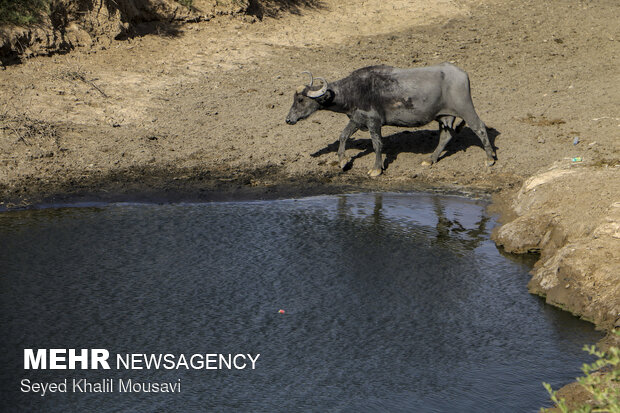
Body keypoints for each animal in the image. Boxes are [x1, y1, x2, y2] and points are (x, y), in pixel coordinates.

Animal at [284, 63, 494, 176]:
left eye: (301, 99)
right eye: (294, 99)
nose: (288, 120)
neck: (356, 90)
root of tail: (463, 74)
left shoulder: (373, 122)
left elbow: (377, 144)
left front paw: (376, 169)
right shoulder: (357, 119)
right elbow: (343, 136)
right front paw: (343, 161)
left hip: (466, 108)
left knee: (480, 127)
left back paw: (490, 158)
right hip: (444, 116)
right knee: (446, 136)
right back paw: (430, 159)